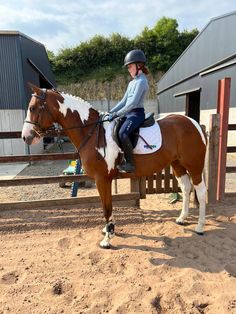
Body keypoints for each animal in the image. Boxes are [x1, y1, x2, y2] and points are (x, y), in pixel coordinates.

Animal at [21, 83, 206, 248]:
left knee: (201, 191)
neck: (91, 132)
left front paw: (107, 239)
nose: (25, 137)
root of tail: (193, 122)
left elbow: (106, 207)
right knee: (186, 187)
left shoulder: (102, 179)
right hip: (177, 165)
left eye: (33, 108)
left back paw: (200, 227)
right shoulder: (104, 180)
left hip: (194, 167)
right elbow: (107, 204)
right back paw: (182, 218)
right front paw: (108, 230)